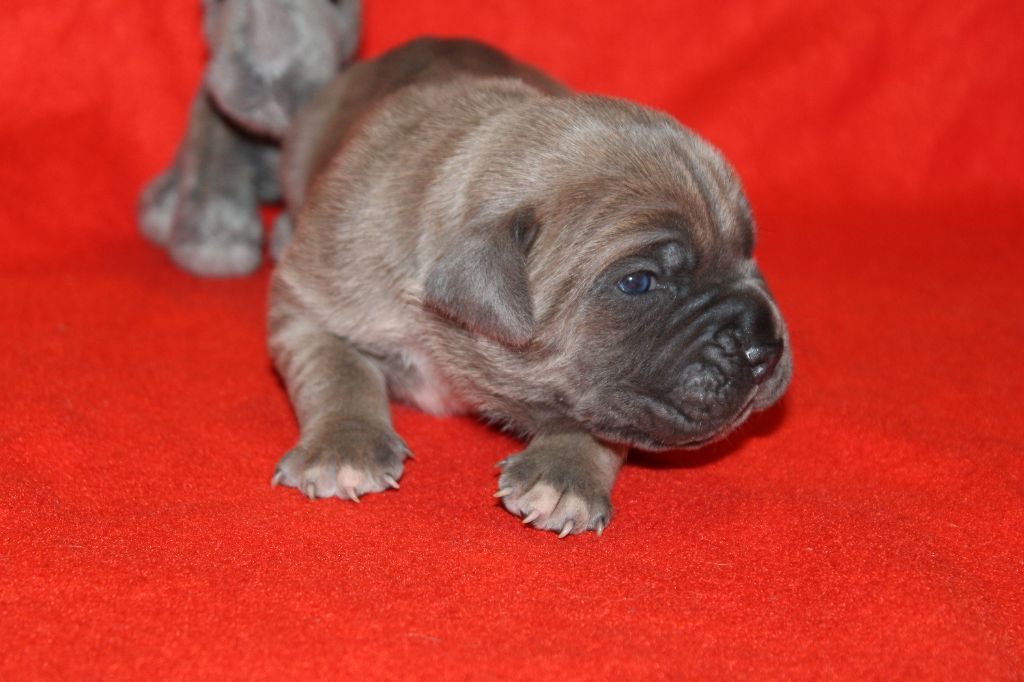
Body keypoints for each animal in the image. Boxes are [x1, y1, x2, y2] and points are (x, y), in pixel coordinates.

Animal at [266, 37, 790, 536]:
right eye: (638, 281)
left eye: (749, 251)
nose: (764, 349)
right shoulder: (308, 302)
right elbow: (337, 370)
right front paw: (343, 446)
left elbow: (600, 423)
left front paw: (563, 475)